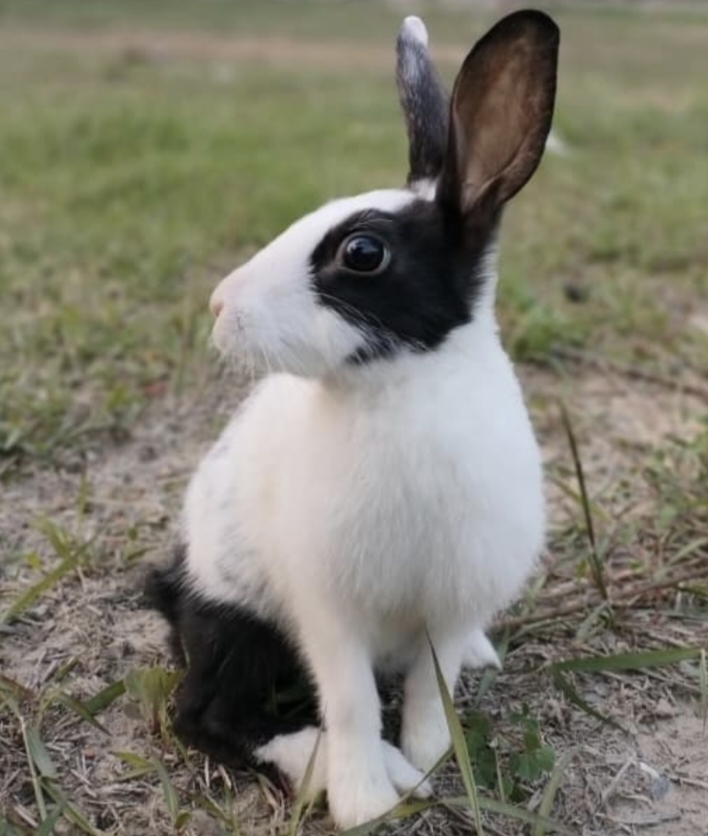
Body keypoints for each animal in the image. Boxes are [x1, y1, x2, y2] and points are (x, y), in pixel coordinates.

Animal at [145, 9, 559, 829]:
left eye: (361, 253)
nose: (219, 305)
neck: (398, 388)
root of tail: (177, 594)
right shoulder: (330, 613)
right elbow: (352, 703)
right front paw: (367, 799)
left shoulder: (449, 603)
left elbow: (431, 692)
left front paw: (430, 760)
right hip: (242, 625)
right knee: (206, 712)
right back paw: (325, 766)